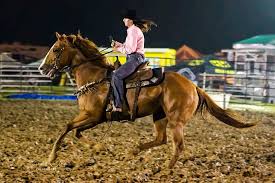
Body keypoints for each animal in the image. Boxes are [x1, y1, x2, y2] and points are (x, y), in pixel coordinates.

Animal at [38, 32, 256, 168]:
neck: (95, 78)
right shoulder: (97, 117)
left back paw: (166, 169)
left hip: (176, 120)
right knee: (161, 139)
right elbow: (76, 132)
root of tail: (193, 86)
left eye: (56, 49)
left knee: (178, 145)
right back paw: (133, 151)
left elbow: (67, 127)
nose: (41, 68)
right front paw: (97, 147)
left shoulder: (91, 115)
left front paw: (51, 157)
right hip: (159, 115)